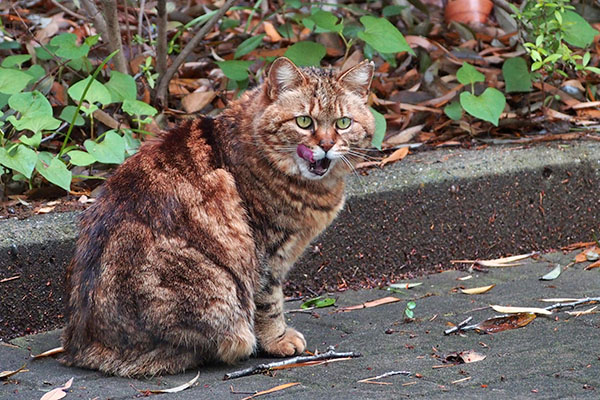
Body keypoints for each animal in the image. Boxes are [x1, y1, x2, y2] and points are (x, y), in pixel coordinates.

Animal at [58, 56, 372, 376]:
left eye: (343, 123)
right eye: (304, 121)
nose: (327, 145)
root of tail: (82, 347)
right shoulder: (265, 254)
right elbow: (269, 302)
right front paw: (278, 339)